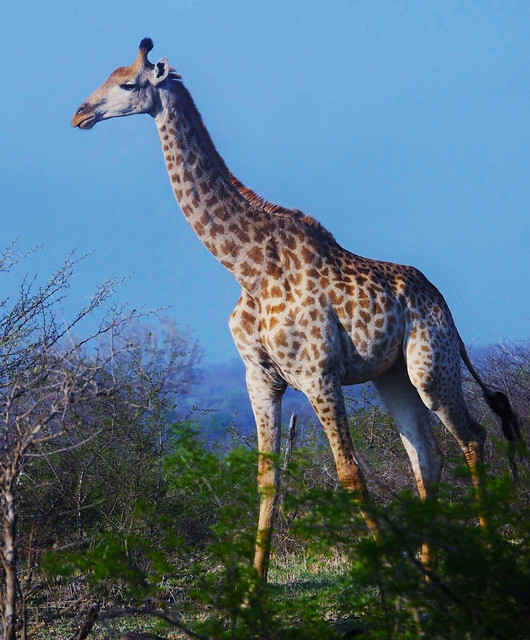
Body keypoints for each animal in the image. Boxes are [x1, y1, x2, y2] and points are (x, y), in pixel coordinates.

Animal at [72, 38, 516, 580]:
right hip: (393, 376)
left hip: (432, 366)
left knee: (473, 438)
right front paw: (254, 588)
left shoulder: (318, 374)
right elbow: (268, 480)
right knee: (426, 460)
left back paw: (487, 559)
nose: (80, 114)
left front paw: (390, 574)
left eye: (127, 83)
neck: (246, 267)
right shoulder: (260, 378)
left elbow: (350, 473)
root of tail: (443, 304)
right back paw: (433, 575)